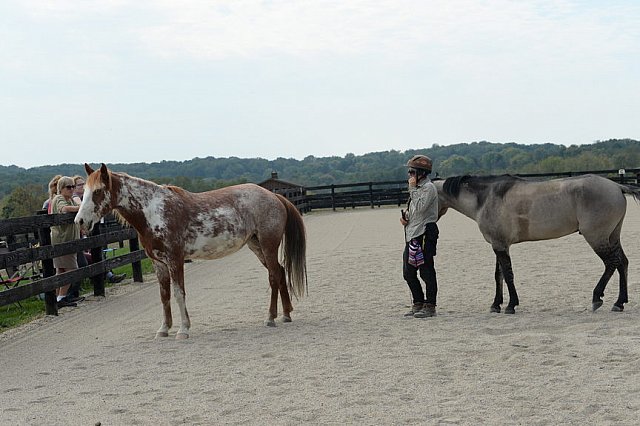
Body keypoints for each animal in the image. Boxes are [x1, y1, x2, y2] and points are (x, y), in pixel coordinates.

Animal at [75, 163, 308, 340]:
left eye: (97, 191)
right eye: (84, 192)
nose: (80, 221)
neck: (154, 212)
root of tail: (275, 197)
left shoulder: (175, 259)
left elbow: (179, 294)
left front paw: (183, 329)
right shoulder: (159, 263)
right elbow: (164, 296)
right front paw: (164, 329)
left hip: (268, 245)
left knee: (273, 276)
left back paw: (270, 317)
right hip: (256, 246)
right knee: (280, 272)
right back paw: (286, 314)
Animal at [436, 173, 640, 312]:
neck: (486, 198)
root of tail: (616, 186)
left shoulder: (499, 245)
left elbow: (508, 274)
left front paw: (511, 305)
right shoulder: (499, 244)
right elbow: (499, 275)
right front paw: (496, 304)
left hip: (596, 237)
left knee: (611, 263)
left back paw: (597, 298)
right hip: (612, 236)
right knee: (622, 263)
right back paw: (619, 302)